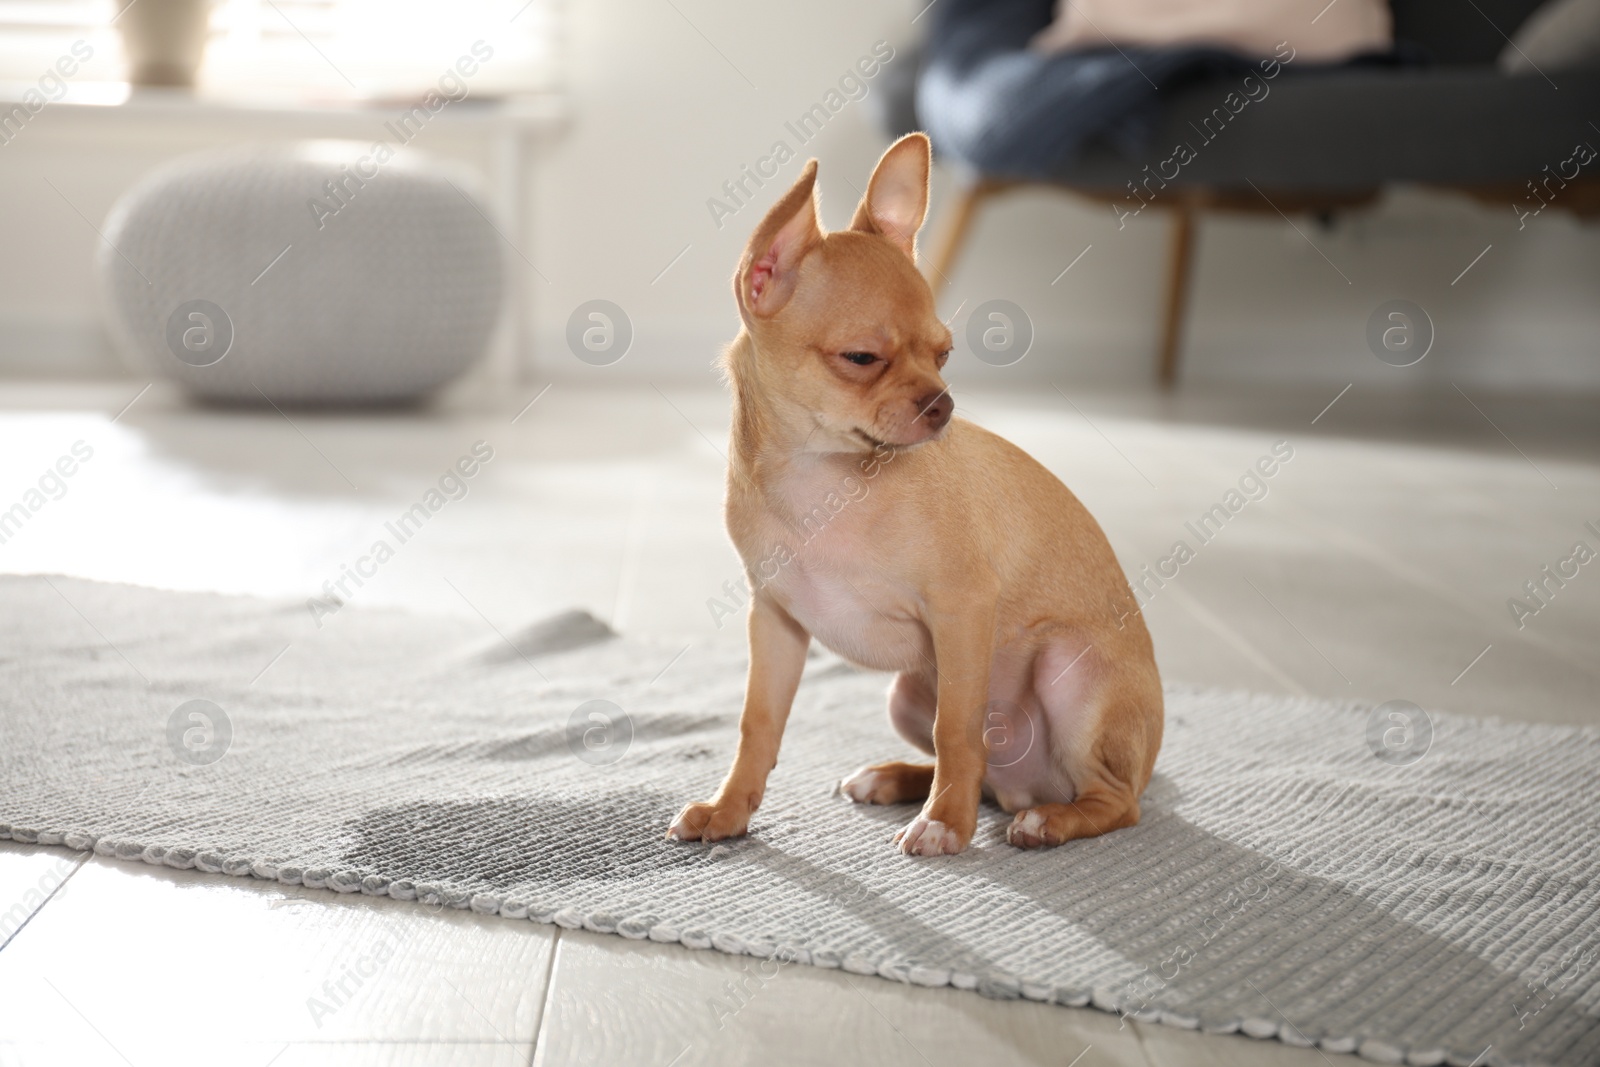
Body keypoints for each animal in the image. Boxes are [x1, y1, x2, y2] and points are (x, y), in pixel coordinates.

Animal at [665, 133, 1164, 857]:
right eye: (861, 358)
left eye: (944, 355)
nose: (942, 403)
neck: (824, 482)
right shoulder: (777, 621)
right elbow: (757, 726)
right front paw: (729, 810)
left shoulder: (962, 609)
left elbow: (955, 728)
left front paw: (945, 823)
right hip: (904, 693)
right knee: (989, 775)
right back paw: (898, 778)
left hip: (1069, 672)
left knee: (1112, 801)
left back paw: (1046, 820)